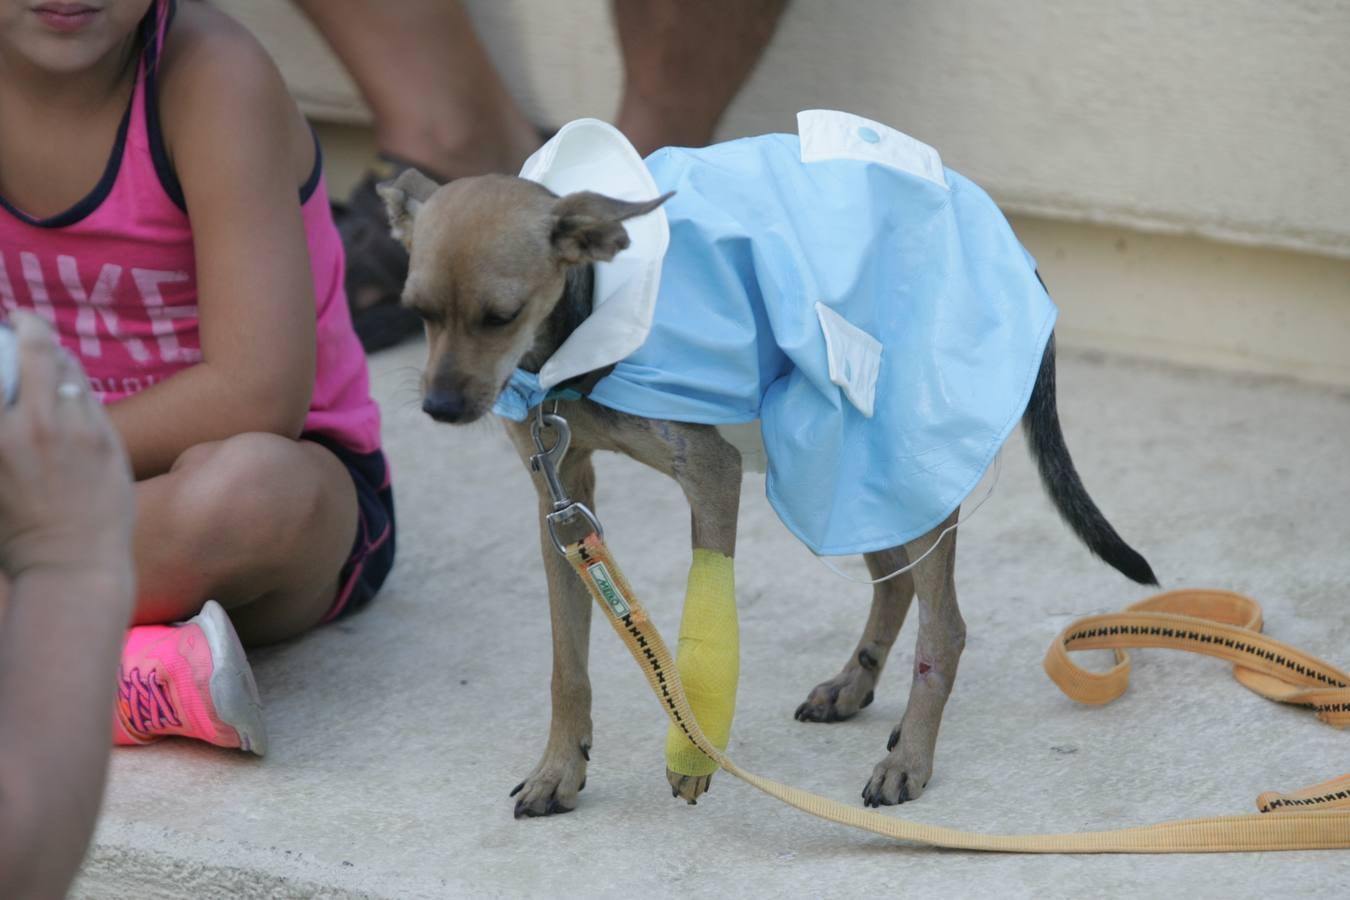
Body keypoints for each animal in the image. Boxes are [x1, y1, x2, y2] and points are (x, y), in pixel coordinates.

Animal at [375, 165, 1155, 820]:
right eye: (418, 310)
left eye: (501, 316)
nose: (440, 407)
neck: (586, 327)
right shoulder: (560, 503)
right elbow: (568, 665)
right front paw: (560, 767)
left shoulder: (710, 481)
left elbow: (700, 635)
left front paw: (692, 755)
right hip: (839, 461)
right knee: (895, 579)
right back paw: (853, 685)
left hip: (892, 454)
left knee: (945, 627)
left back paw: (910, 756)